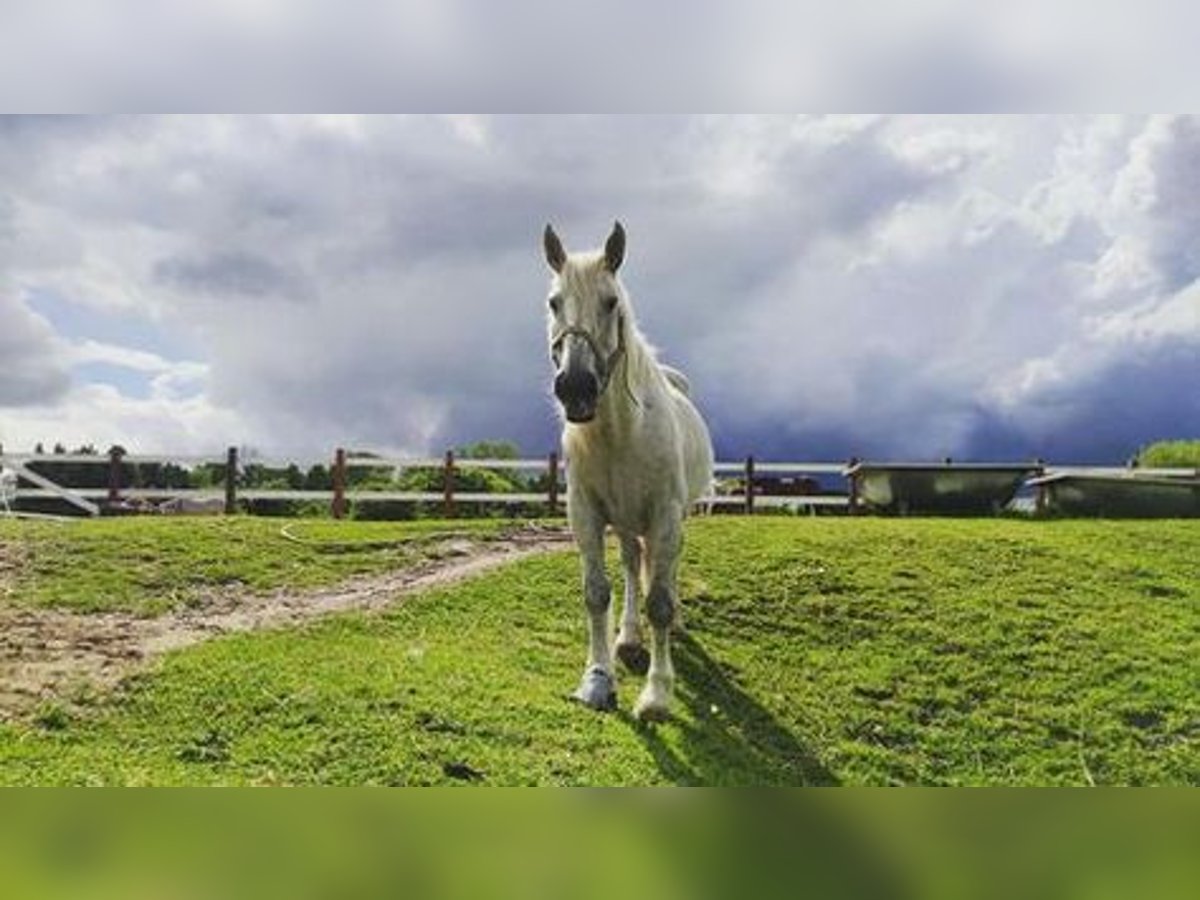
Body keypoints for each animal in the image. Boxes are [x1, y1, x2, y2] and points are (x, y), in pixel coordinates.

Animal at [544, 222, 710, 724]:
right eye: (554, 301)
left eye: (611, 301)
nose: (575, 387)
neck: (621, 433)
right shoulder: (587, 513)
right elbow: (597, 592)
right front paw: (598, 679)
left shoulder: (665, 514)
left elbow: (660, 601)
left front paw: (656, 695)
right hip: (626, 521)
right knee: (635, 566)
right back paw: (629, 638)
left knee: (662, 572)